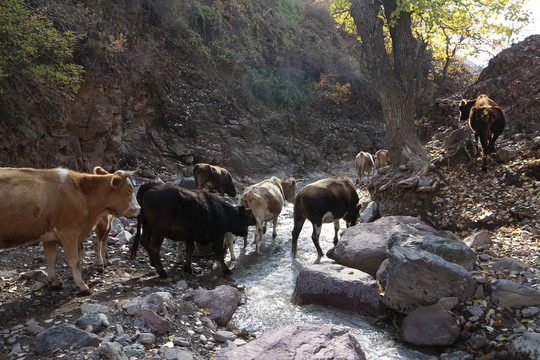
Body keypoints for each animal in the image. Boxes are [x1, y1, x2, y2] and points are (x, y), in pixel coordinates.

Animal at [0, 167, 139, 294]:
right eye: (129, 190)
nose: (139, 208)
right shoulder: (70, 233)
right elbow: (74, 261)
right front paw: (82, 286)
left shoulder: (48, 236)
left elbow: (51, 258)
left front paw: (54, 282)